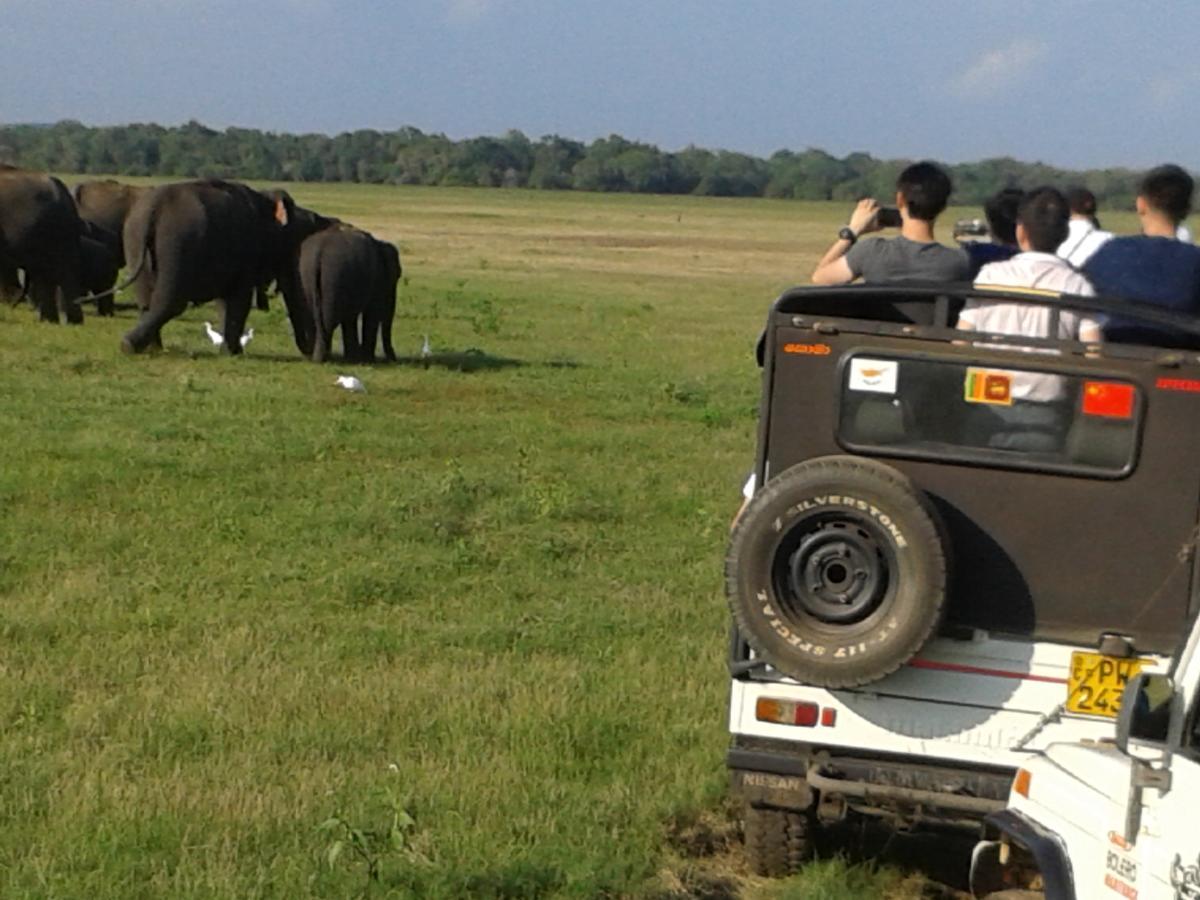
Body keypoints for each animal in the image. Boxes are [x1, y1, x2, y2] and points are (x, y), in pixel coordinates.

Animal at [120, 177, 333, 355]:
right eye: (293, 249)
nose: (309, 350)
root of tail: (153, 210)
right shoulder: (246, 253)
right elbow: (239, 300)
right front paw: (233, 353)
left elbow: (225, 302)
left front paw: (231, 351)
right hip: (176, 244)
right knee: (170, 302)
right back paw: (131, 345)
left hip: (134, 240)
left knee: (146, 300)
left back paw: (145, 347)